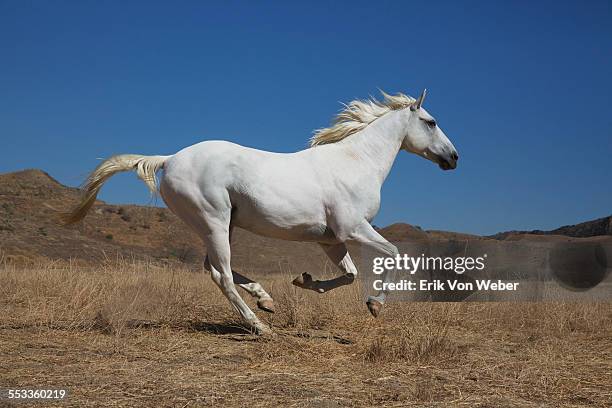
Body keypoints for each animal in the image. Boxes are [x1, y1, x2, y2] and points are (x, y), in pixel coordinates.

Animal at [64, 90, 460, 334]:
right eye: (431, 121)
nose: (454, 158)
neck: (355, 162)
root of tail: (169, 159)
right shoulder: (353, 229)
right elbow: (394, 254)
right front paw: (375, 304)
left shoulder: (331, 240)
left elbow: (347, 275)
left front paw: (305, 281)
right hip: (214, 221)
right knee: (221, 275)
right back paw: (259, 325)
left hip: (221, 225)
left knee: (212, 268)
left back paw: (265, 299)